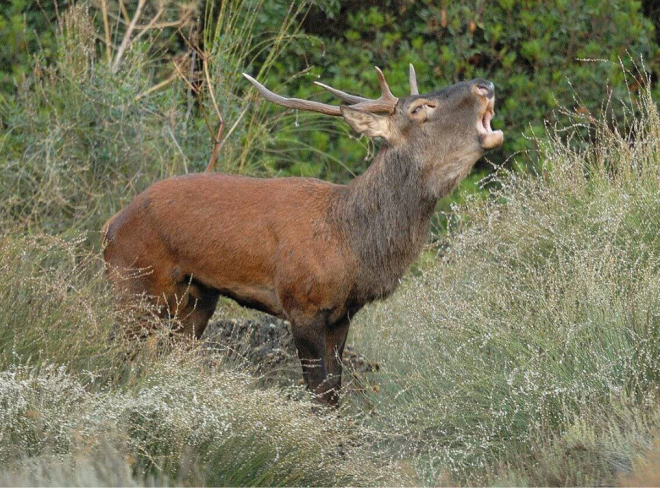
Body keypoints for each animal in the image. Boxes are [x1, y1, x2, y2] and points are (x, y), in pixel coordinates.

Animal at [102, 65, 503, 407]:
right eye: (420, 107)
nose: (485, 84)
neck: (353, 244)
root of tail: (110, 226)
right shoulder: (302, 302)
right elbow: (317, 393)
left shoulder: (342, 315)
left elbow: (334, 392)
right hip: (134, 285)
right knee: (117, 351)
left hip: (198, 295)